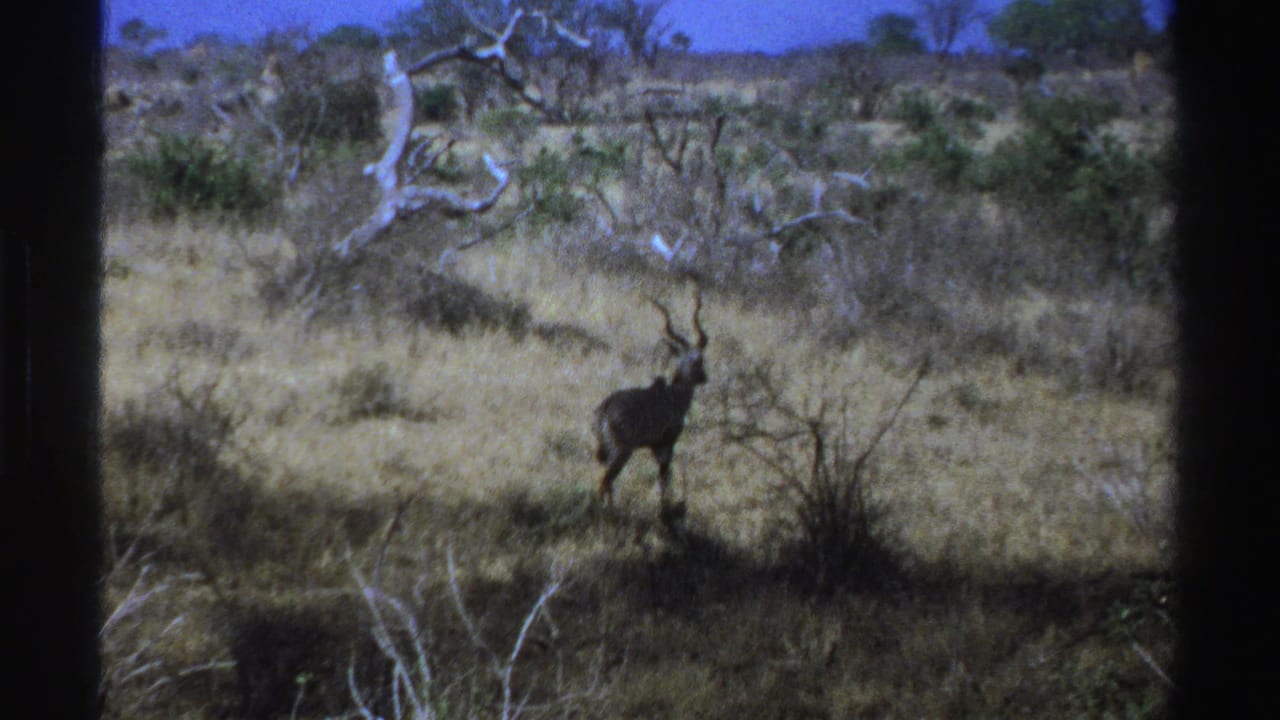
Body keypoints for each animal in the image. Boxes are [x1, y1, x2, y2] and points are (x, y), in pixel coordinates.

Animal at [593, 289, 708, 511]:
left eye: (701, 358)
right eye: (695, 360)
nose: (704, 377)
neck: (672, 395)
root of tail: (605, 408)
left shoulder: (655, 447)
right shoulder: (665, 445)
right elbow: (664, 479)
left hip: (607, 453)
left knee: (606, 483)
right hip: (621, 452)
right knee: (604, 481)